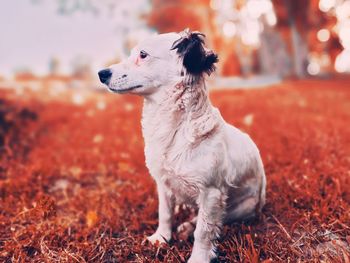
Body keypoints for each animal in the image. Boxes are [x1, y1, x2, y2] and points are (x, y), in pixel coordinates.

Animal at [97, 29, 266, 263]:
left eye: (143, 54)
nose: (101, 73)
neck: (175, 129)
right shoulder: (163, 183)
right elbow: (165, 214)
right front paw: (161, 238)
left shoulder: (211, 193)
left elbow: (204, 230)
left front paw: (199, 257)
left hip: (243, 207)